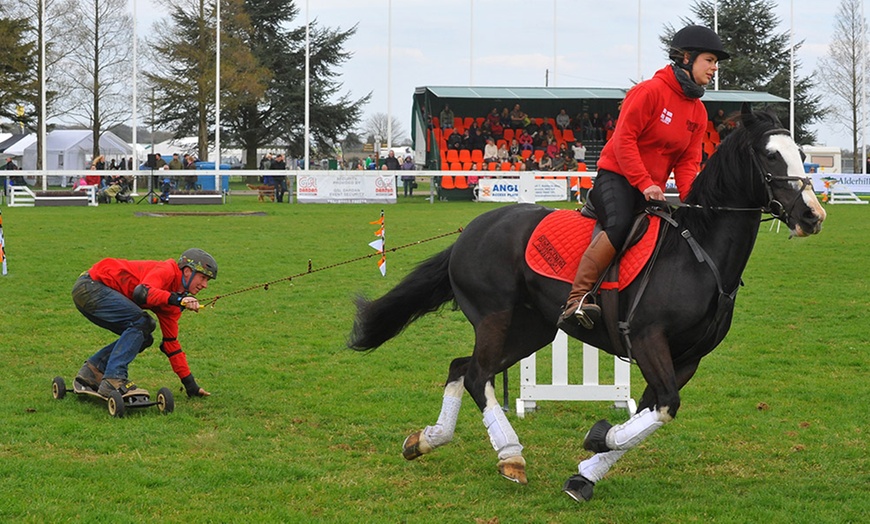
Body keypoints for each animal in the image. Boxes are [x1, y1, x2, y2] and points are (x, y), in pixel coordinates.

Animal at [348, 105, 824, 500]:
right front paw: (597, 437)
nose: (812, 216)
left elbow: (651, 412)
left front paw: (585, 474)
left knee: (461, 368)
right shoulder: (649, 339)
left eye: (801, 153)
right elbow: (663, 408)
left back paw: (427, 440)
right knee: (478, 375)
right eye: (770, 156)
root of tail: (473, 229)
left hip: (532, 329)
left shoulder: (687, 358)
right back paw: (510, 456)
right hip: (495, 318)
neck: (699, 252)